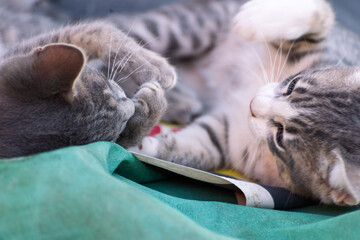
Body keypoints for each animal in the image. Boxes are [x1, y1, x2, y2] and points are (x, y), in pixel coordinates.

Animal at [114, 0, 360, 206]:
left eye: (280, 135)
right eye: (292, 85)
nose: (253, 103)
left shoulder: (229, 138)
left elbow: (195, 145)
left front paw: (142, 146)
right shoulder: (327, 46)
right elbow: (321, 13)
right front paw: (255, 19)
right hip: (190, 25)